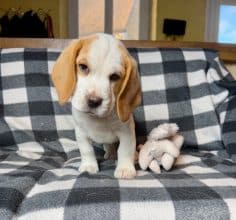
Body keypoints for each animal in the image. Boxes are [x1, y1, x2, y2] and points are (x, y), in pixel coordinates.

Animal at [51, 34, 141, 179]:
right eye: (83, 67)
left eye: (115, 76)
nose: (93, 101)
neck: (99, 119)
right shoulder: (81, 132)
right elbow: (86, 150)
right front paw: (89, 166)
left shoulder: (126, 132)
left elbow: (125, 150)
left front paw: (125, 169)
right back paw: (110, 153)